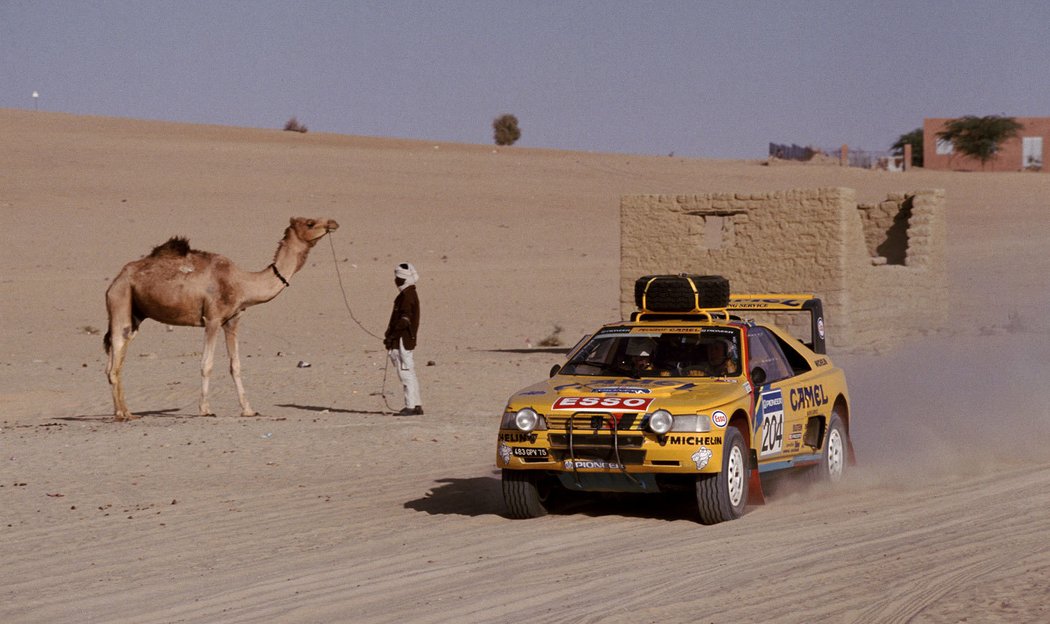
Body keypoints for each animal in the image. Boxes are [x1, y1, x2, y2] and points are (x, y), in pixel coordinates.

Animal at [104, 216, 338, 420]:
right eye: (310, 223)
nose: (333, 223)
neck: (243, 284)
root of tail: (116, 280)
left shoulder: (232, 321)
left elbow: (235, 365)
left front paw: (249, 410)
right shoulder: (213, 319)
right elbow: (206, 363)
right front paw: (205, 410)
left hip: (136, 313)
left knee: (116, 359)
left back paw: (127, 412)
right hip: (121, 299)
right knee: (115, 357)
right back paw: (122, 414)